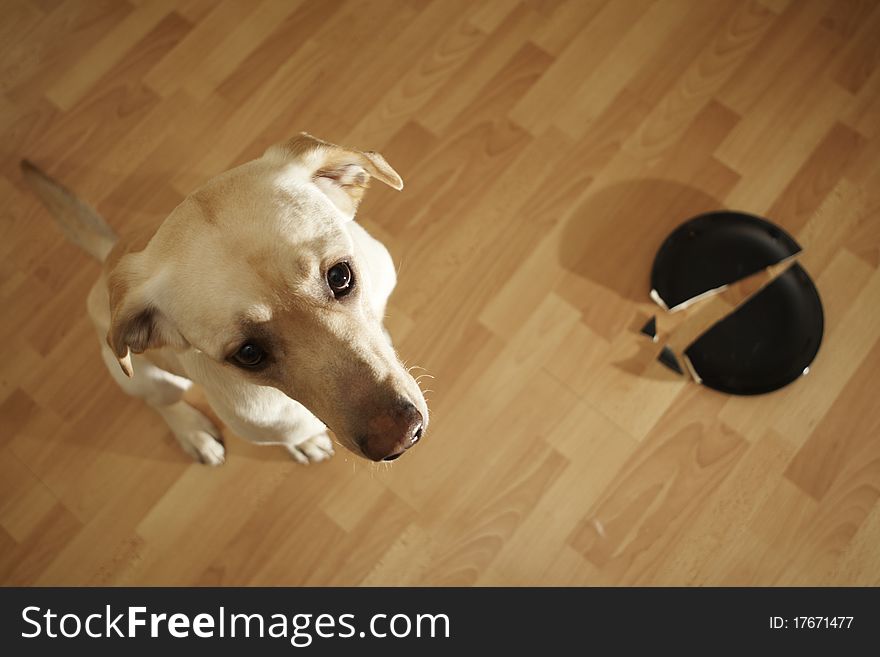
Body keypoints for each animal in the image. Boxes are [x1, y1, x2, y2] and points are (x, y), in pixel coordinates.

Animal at [22, 132, 428, 462]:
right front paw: (305, 442)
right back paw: (194, 435)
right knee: (162, 404)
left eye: (340, 276)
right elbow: (294, 433)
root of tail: (110, 262)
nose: (400, 438)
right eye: (248, 354)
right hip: (146, 379)